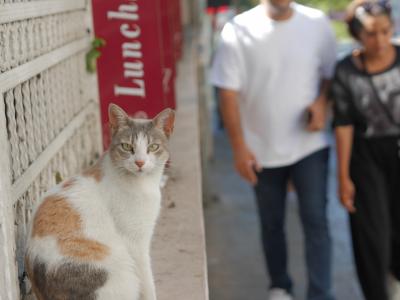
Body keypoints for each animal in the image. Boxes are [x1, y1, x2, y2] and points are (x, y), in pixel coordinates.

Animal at [24, 103, 175, 300]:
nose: (140, 162)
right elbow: (147, 282)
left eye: (153, 146)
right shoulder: (136, 243)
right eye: (127, 146)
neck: (143, 184)